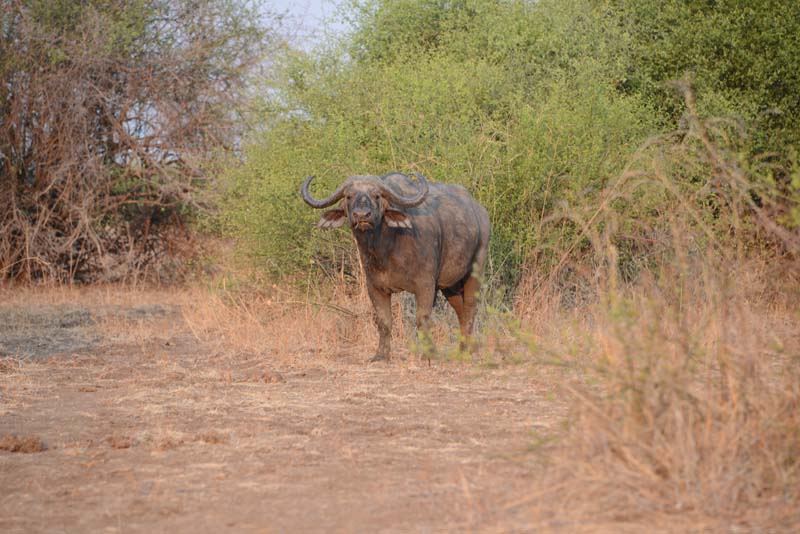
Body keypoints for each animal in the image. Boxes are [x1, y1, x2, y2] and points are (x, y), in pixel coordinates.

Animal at [300, 172, 488, 364]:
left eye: (376, 196)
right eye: (348, 196)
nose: (362, 215)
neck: (386, 249)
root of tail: (481, 212)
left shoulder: (426, 285)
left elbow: (422, 319)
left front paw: (428, 354)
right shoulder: (375, 287)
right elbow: (383, 321)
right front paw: (381, 355)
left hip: (475, 272)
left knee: (470, 308)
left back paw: (466, 353)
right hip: (450, 286)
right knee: (461, 311)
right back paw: (464, 349)